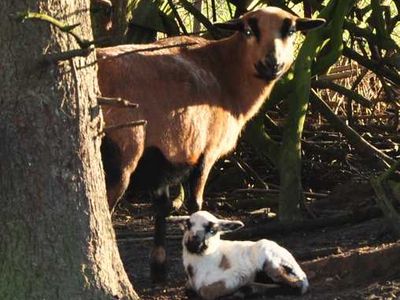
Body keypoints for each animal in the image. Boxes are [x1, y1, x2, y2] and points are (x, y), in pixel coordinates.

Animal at [97, 7, 324, 284]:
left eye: (290, 31)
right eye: (248, 31)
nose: (272, 64)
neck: (225, 71)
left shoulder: (163, 158)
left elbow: (161, 208)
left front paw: (159, 269)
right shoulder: (206, 152)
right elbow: (195, 205)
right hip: (120, 154)